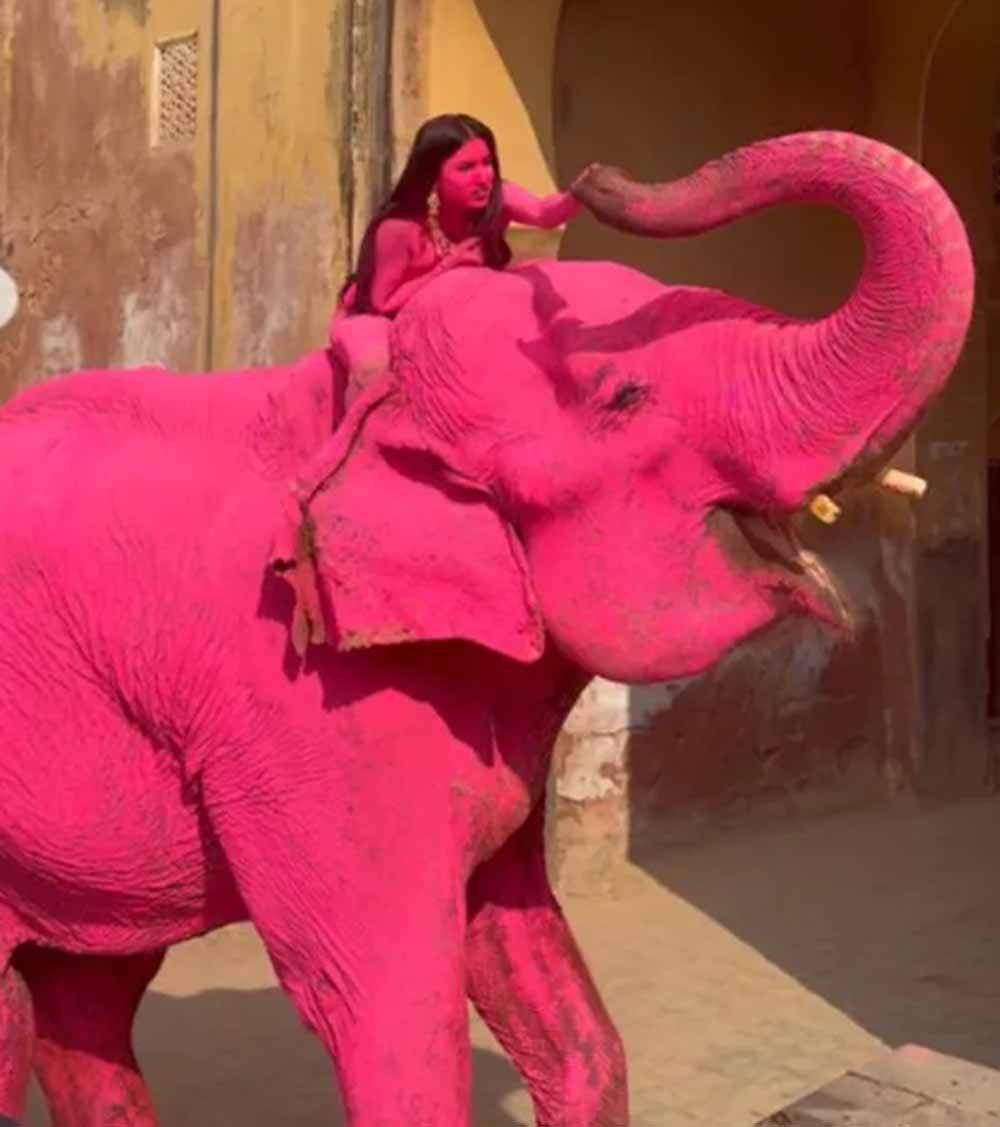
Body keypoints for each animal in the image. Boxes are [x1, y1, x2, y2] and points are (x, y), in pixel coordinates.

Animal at [0, 130, 974, 1127]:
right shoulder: (297, 707)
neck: (368, 410)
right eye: (624, 396)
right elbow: (382, 1002)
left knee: (84, 997)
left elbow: (538, 968)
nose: (593, 177)